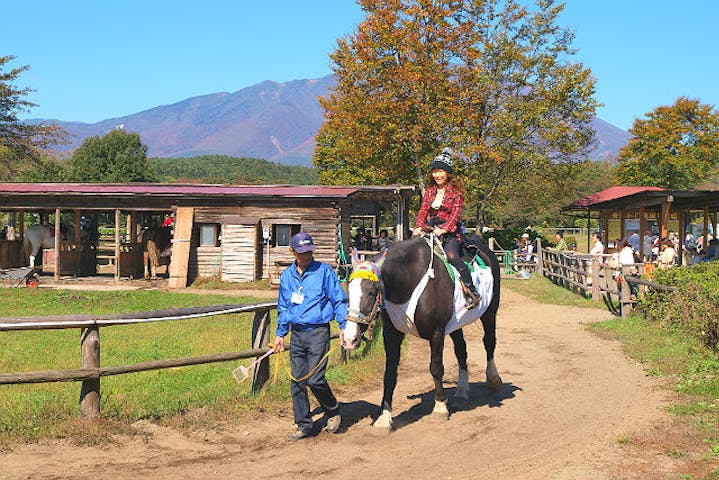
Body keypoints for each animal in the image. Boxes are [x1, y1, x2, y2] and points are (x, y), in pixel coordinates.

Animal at [344, 234, 504, 430]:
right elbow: (389, 373)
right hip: (456, 322)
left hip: (490, 312)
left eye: (372, 292)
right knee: (461, 350)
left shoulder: (437, 332)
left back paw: (493, 379)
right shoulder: (392, 333)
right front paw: (384, 417)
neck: (409, 281)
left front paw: (440, 407)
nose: (349, 340)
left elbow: (436, 368)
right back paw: (461, 392)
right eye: (348, 290)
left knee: (489, 342)